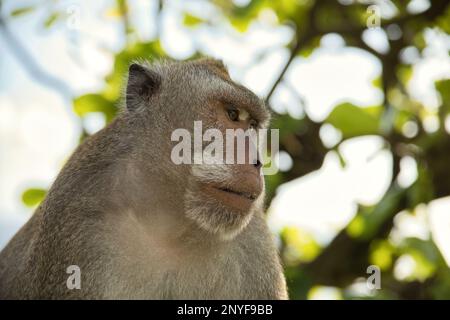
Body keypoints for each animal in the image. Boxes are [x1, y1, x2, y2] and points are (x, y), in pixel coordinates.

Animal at [0, 58, 288, 300]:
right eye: (232, 114)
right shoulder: (74, 220)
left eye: (253, 126)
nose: (257, 162)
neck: (169, 223)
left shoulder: (253, 242)